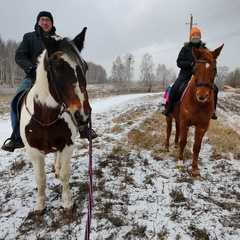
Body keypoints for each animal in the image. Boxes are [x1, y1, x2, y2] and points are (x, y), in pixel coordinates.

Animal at [19, 27, 91, 213]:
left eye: (85, 67)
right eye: (58, 67)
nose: (82, 114)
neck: (46, 117)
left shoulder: (67, 145)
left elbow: (65, 174)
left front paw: (67, 202)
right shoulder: (33, 151)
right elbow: (40, 179)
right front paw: (40, 205)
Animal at [164, 44, 224, 177]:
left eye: (214, 69)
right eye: (195, 68)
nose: (202, 95)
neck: (198, 104)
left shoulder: (202, 126)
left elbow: (197, 146)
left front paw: (195, 169)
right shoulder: (185, 123)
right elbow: (184, 142)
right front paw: (180, 164)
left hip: (178, 119)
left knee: (177, 130)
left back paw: (175, 144)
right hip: (168, 116)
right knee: (169, 130)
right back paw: (166, 147)